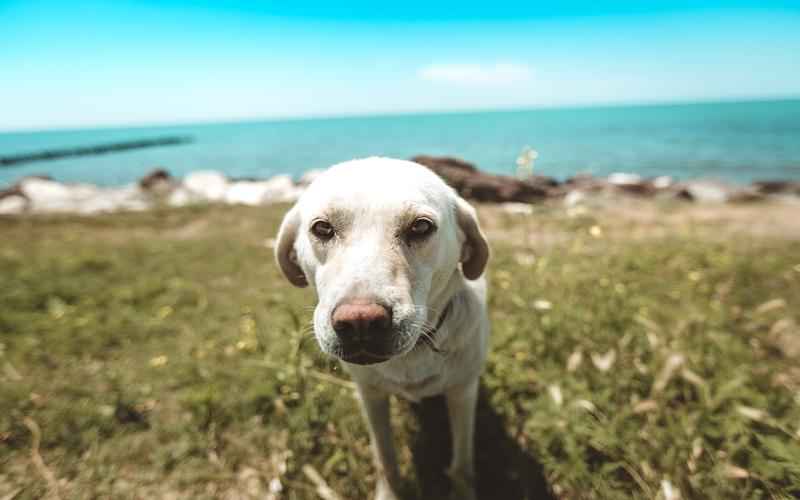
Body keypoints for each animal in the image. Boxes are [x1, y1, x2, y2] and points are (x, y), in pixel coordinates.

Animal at [274, 157, 488, 500]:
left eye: (421, 227)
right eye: (322, 228)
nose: (360, 321)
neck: (411, 356)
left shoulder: (463, 392)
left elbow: (462, 463)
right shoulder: (371, 396)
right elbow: (384, 456)